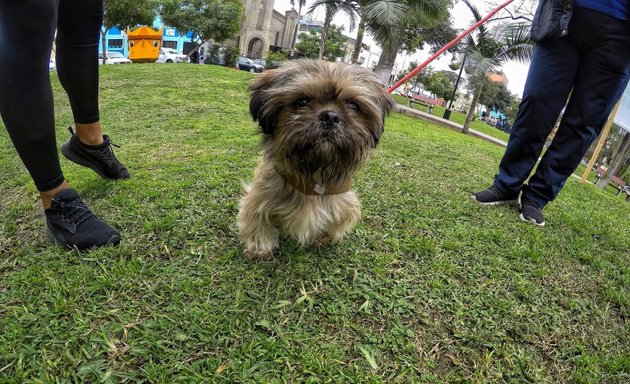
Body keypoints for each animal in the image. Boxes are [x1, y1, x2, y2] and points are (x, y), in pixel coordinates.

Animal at [238, 60, 396, 260]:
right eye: (302, 101)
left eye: (353, 105)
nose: (330, 116)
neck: (314, 173)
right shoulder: (260, 194)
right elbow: (257, 217)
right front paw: (259, 245)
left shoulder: (345, 204)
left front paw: (321, 238)